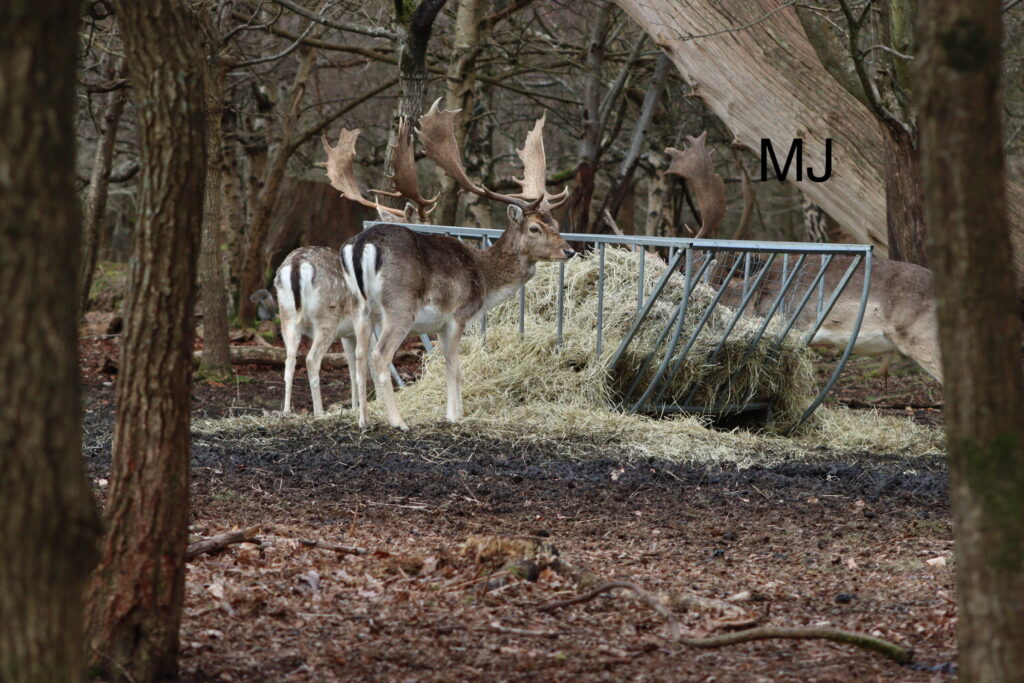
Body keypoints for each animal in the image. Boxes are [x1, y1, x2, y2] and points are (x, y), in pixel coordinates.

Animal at [326, 100, 572, 430]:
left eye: (555, 223)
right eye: (535, 228)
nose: (569, 249)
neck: (485, 279)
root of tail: (360, 245)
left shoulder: (441, 324)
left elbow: (446, 367)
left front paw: (451, 412)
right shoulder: (457, 315)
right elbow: (455, 368)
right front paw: (455, 416)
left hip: (359, 306)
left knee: (361, 355)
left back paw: (364, 421)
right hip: (399, 306)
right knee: (380, 356)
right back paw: (399, 422)